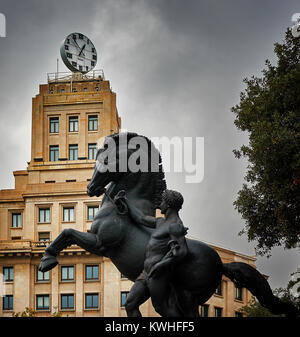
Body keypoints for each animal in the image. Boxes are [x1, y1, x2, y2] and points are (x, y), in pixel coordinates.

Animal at [39, 133, 298, 316]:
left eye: (105, 161)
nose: (90, 188)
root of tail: (221, 264)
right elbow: (67, 233)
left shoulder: (101, 243)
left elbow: (67, 232)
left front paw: (47, 260)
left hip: (186, 295)